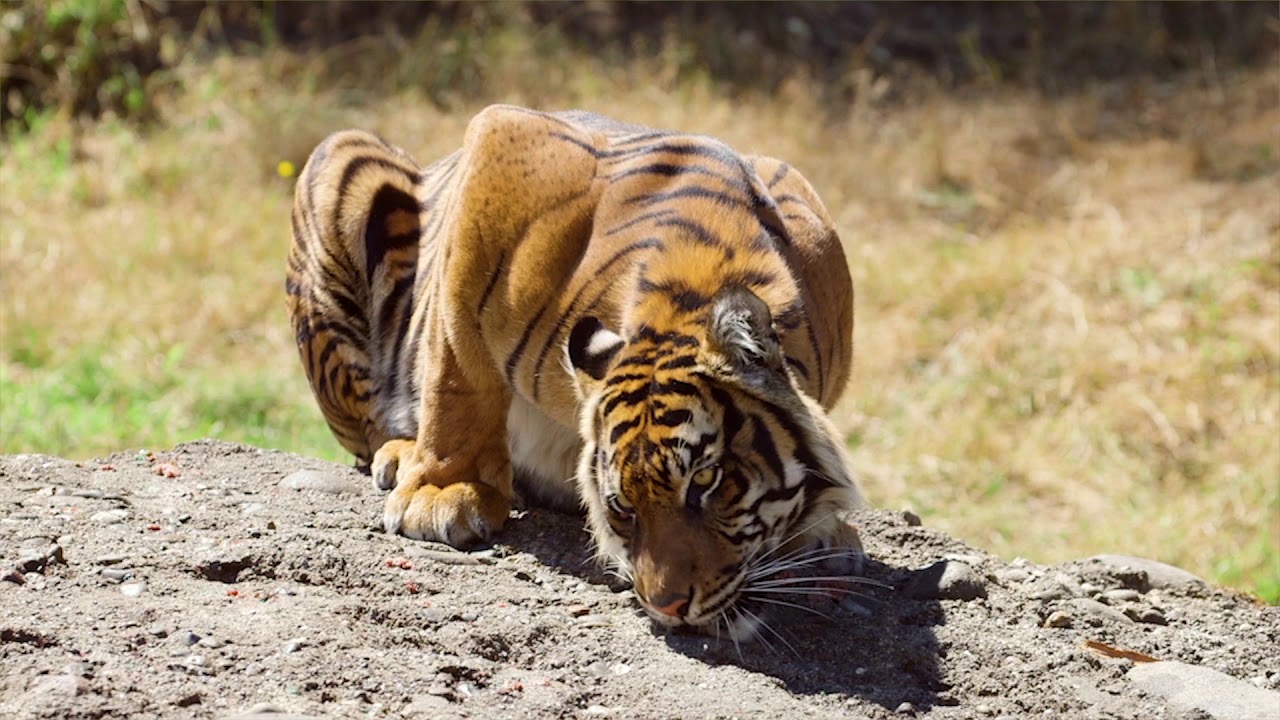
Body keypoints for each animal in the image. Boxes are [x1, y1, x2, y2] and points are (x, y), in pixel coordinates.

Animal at [286, 105, 864, 641]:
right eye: (622, 506)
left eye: (706, 481)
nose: (668, 606)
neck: (690, 291)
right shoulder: (502, 150)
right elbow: (456, 369)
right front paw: (443, 495)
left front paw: (825, 532)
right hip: (340, 160)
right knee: (373, 427)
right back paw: (404, 455)